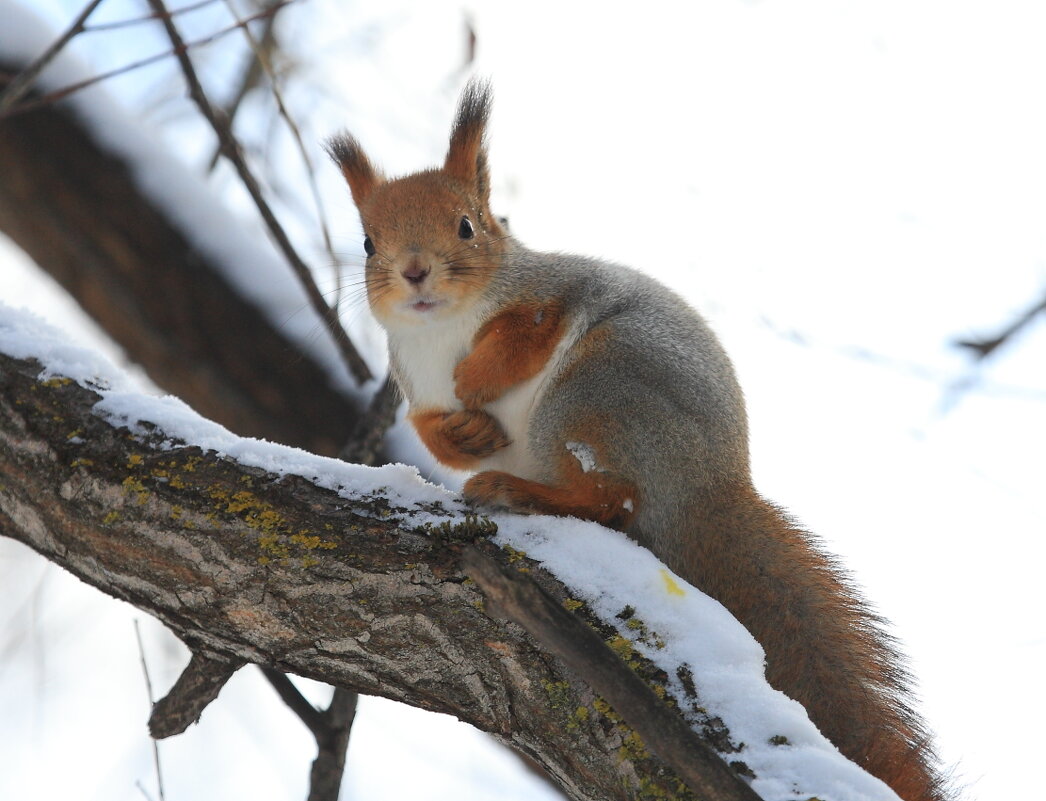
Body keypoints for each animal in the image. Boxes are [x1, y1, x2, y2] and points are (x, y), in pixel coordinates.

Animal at [330, 79, 953, 801]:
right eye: (367, 242)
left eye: (467, 224)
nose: (415, 271)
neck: (443, 329)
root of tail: (707, 491)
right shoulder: (414, 381)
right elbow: (435, 433)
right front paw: (467, 429)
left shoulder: (555, 293)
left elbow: (528, 330)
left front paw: (478, 374)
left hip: (596, 389)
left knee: (612, 498)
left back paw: (513, 487)